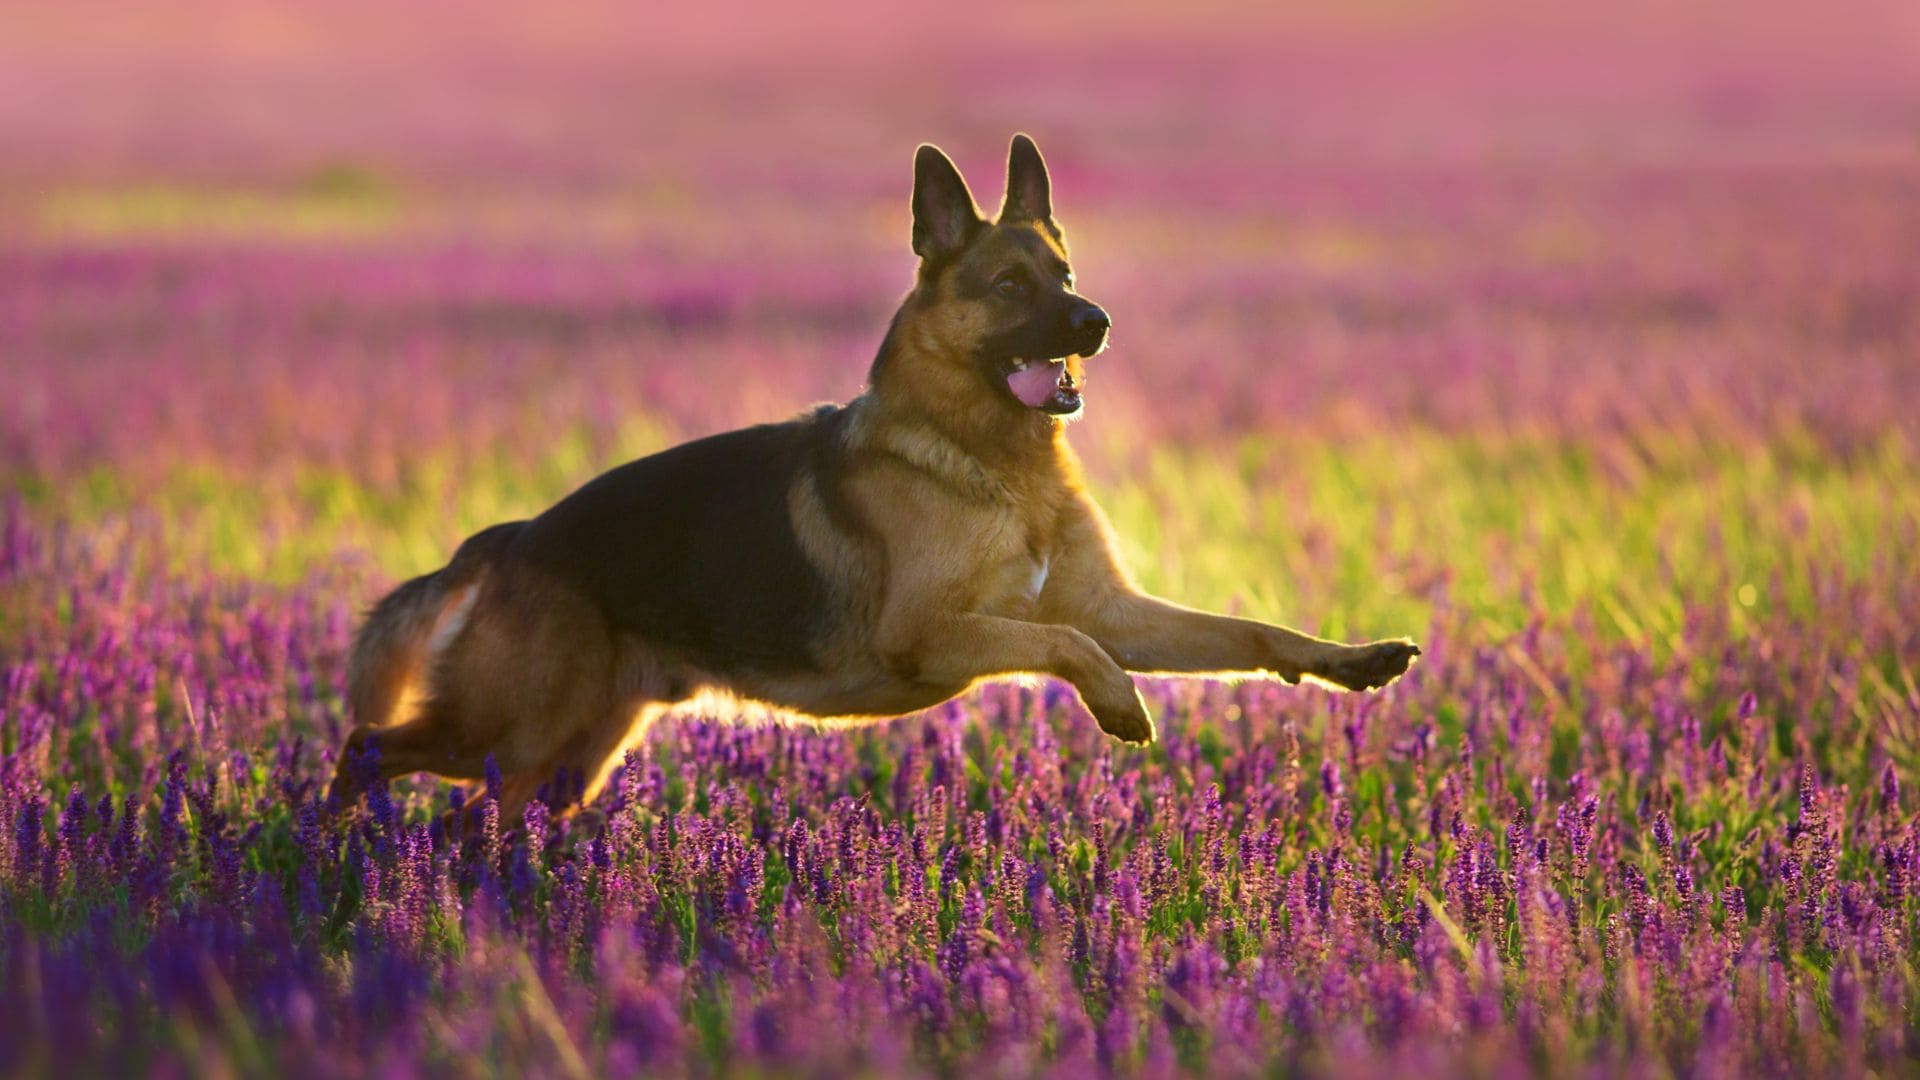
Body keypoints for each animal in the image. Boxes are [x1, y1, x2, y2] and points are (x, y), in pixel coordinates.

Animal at [330, 138, 1420, 818]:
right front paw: (1117, 704)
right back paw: (345, 848)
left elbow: (1249, 633)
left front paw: (1350, 660)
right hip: (512, 728)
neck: (990, 462)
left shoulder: (1120, 613)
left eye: (1066, 274)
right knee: (367, 749)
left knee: (472, 824)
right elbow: (1064, 643)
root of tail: (511, 537)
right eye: (1012, 286)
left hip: (564, 757)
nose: (1099, 323)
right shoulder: (937, 633)